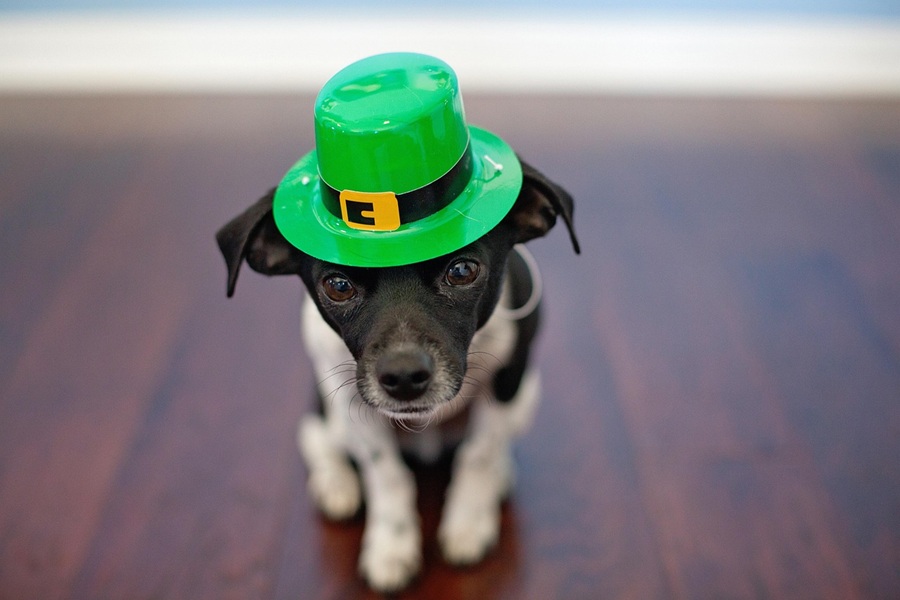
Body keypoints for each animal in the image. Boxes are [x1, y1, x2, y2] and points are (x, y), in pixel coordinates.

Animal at [220, 158, 584, 592]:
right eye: (337, 285)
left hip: (529, 395)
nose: (405, 376)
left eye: (463, 270)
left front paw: (468, 523)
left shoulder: (509, 379)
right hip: (328, 413)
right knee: (314, 437)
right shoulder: (351, 402)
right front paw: (391, 548)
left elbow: (479, 454)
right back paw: (336, 483)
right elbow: (387, 474)